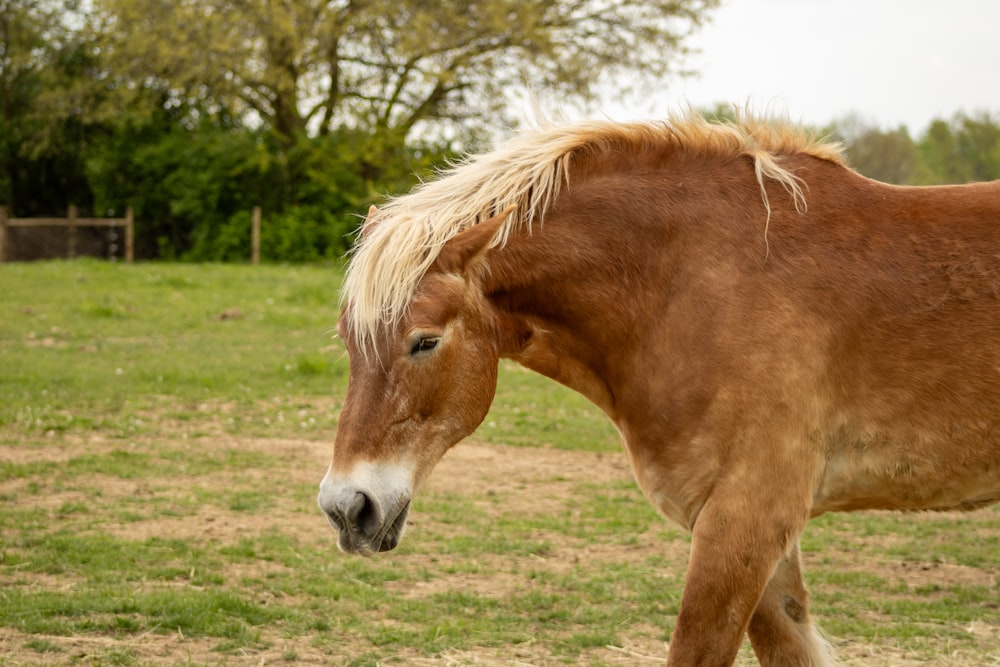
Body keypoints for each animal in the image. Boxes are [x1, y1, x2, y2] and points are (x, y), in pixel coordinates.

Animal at [314, 112, 1000, 664]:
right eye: (347, 340)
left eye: (424, 341)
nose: (347, 508)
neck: (694, 288)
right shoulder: (758, 539)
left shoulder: (744, 522)